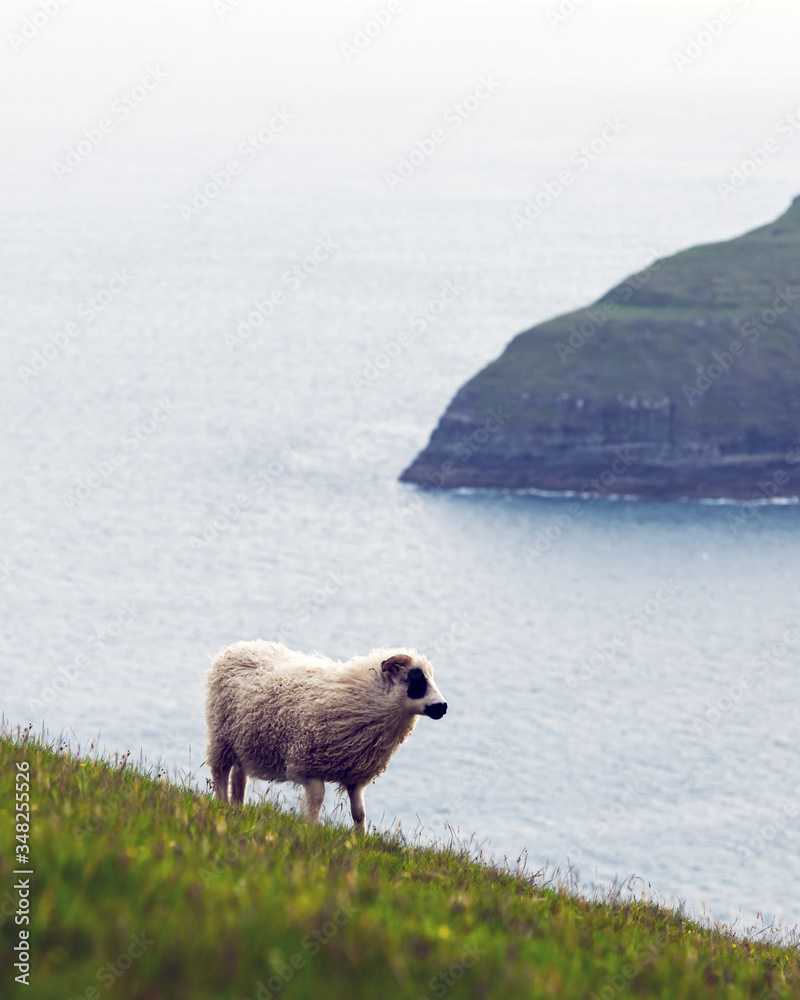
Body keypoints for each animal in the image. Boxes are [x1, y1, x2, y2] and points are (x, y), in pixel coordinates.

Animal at [203, 640, 446, 828]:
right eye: (416, 678)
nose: (443, 707)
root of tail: (238, 647)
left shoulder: (355, 774)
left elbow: (359, 812)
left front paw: (359, 840)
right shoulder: (307, 765)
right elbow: (317, 801)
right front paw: (311, 831)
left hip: (244, 740)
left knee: (238, 776)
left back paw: (237, 808)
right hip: (221, 734)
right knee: (220, 771)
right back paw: (222, 805)